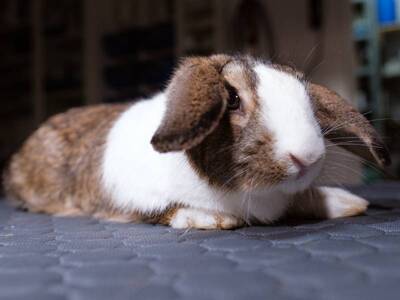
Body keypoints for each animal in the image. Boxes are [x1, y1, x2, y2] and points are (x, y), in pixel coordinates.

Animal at [3, 55, 390, 230]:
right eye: (231, 99)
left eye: (306, 96)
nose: (307, 157)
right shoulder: (133, 196)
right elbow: (163, 210)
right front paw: (212, 219)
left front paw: (346, 202)